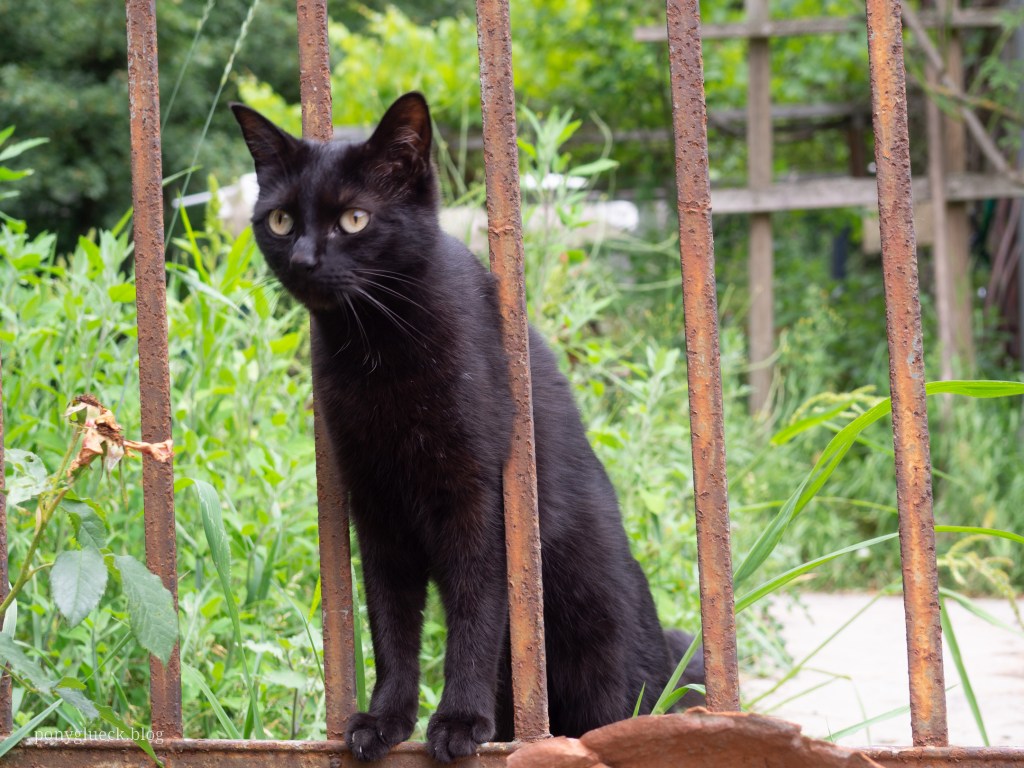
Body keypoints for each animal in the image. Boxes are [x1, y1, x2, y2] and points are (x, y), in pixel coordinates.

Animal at [231, 92, 704, 763]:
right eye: (280, 221)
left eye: (354, 219)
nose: (302, 259)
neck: (375, 350)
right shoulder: (377, 510)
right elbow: (391, 623)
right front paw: (386, 720)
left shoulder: (479, 501)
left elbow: (475, 616)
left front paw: (457, 722)